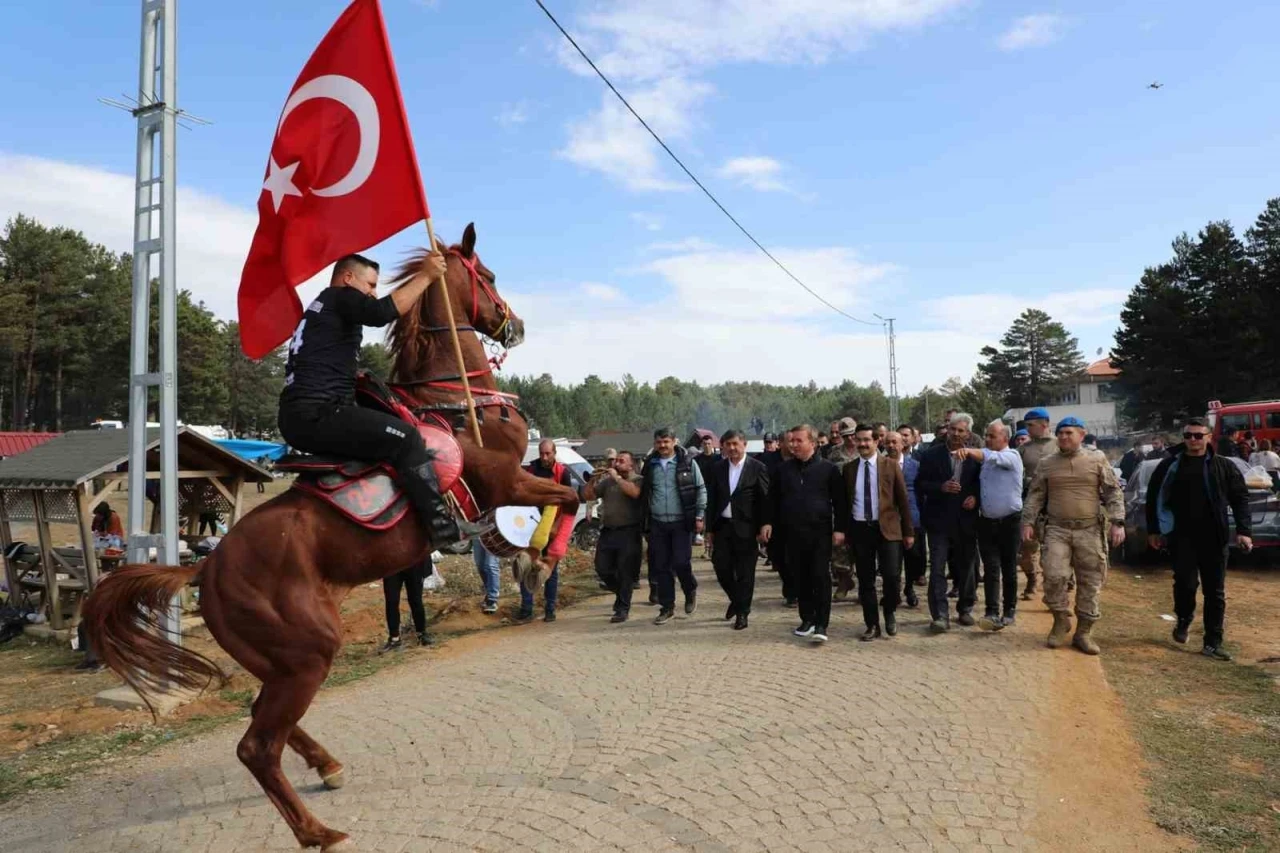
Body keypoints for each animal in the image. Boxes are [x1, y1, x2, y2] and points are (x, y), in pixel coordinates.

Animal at [82, 222, 578, 845]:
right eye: (486, 276)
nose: (515, 324)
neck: (457, 403)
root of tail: (206, 566)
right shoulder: (506, 481)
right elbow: (570, 496)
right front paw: (537, 560)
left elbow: (566, 498)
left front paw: (529, 559)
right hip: (309, 651)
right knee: (256, 746)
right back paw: (317, 831)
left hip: (279, 658)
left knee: (260, 717)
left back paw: (327, 766)